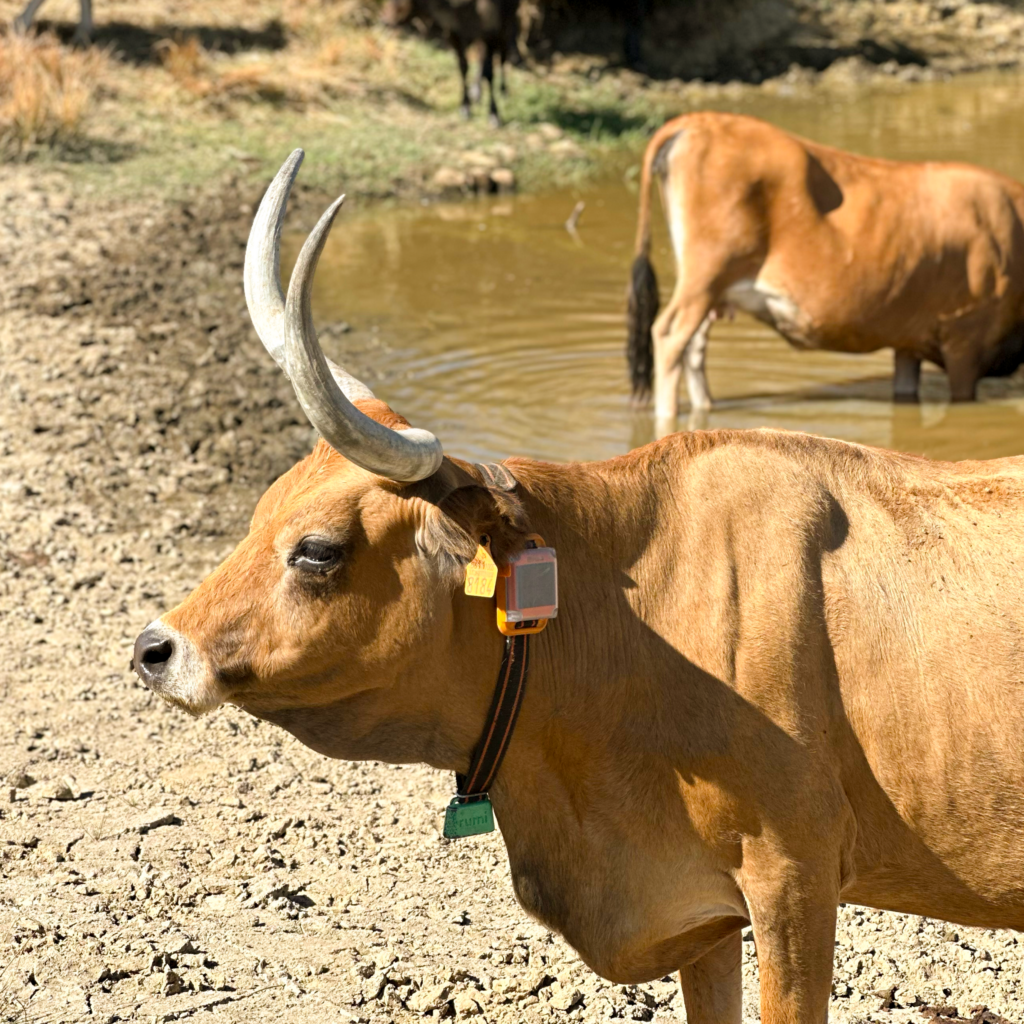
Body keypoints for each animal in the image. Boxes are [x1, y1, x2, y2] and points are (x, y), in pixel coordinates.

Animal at [622, 112, 1024, 428]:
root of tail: (698, 120)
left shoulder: (909, 339)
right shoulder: (964, 336)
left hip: (712, 290)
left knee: (694, 346)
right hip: (706, 274)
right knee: (669, 334)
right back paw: (666, 419)